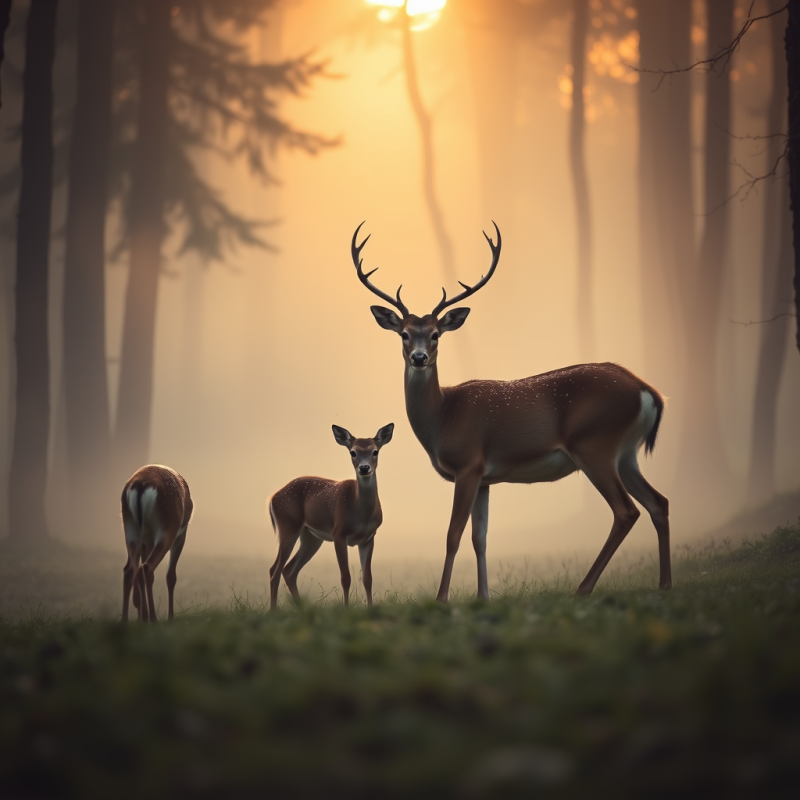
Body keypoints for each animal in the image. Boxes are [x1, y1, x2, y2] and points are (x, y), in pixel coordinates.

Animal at [120, 465, 193, 623]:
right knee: (147, 567)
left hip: (131, 531)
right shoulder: (181, 536)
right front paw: (170, 618)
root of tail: (141, 485)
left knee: (130, 570)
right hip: (167, 532)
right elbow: (171, 576)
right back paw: (153, 619)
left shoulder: (146, 542)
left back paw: (126, 620)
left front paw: (142, 615)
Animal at [268, 423, 394, 610]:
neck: (360, 514)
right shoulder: (338, 533)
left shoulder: (368, 538)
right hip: (288, 526)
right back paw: (273, 610)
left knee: (289, 570)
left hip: (311, 537)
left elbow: (367, 578)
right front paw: (347, 609)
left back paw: (301, 608)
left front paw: (371, 609)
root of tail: (273, 498)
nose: (364, 468)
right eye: (353, 452)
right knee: (274, 570)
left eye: (375, 451)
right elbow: (345, 577)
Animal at [351, 221, 671, 602]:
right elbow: (480, 538)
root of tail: (648, 391)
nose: (419, 357)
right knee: (659, 502)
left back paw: (583, 588)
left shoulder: (468, 464)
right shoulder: (485, 478)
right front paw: (483, 596)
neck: (442, 418)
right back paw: (665, 584)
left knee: (626, 511)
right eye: (402, 333)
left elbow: (453, 535)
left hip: (594, 445)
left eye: (435, 334)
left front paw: (442, 598)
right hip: (626, 453)